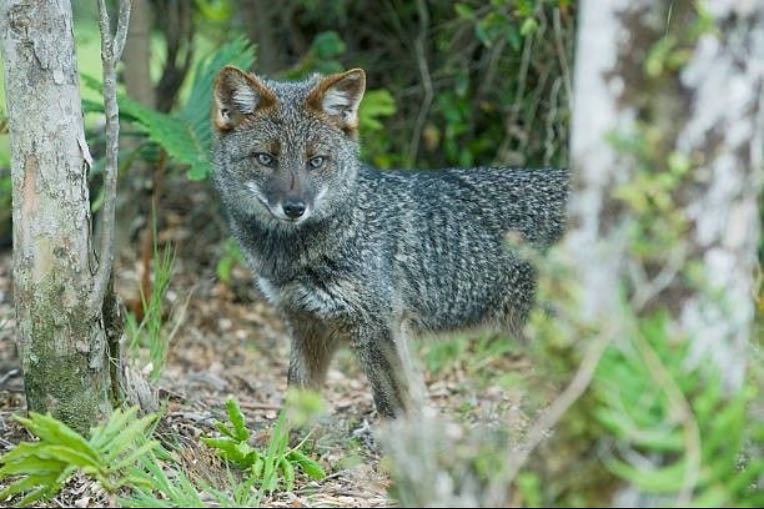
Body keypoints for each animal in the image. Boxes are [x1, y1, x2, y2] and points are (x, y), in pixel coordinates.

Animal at [212, 65, 568, 418]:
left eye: (316, 161)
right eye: (265, 159)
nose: (295, 208)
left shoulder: (381, 328)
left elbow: (396, 411)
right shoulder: (306, 326)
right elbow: (293, 411)